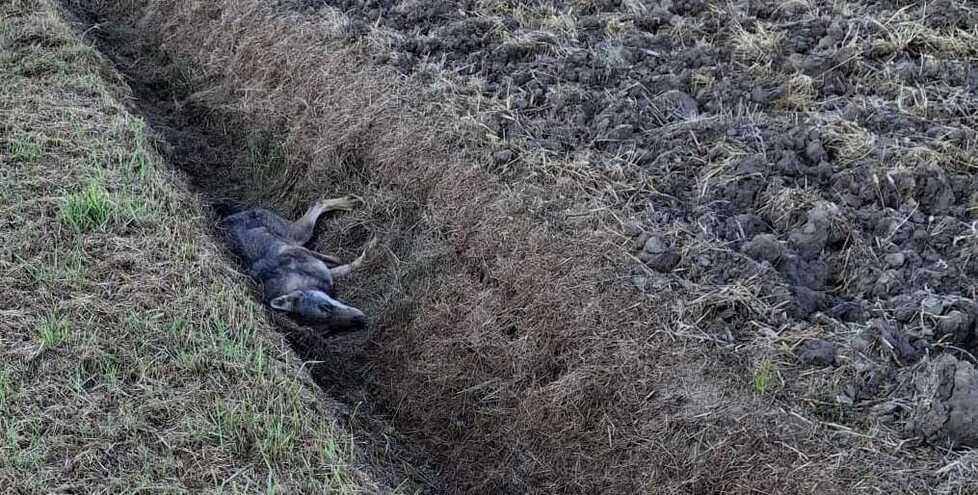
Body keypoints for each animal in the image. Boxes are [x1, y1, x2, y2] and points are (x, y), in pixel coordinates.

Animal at [218, 196, 375, 334]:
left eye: (325, 307)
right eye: (331, 329)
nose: (361, 319)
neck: (298, 281)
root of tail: (228, 217)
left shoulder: (309, 254)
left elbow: (344, 261)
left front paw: (372, 245)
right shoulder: (328, 274)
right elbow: (348, 265)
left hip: (298, 235)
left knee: (318, 202)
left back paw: (351, 201)